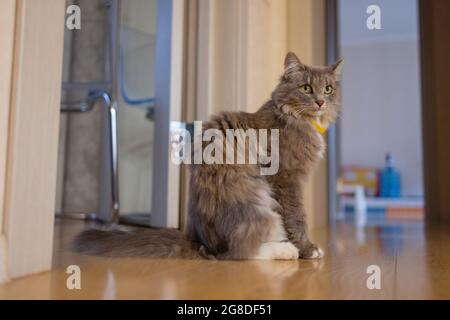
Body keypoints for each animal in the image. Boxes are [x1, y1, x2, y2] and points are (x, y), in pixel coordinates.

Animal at [73, 52, 342, 262]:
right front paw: (308, 249)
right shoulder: (286, 179)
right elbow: (296, 219)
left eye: (328, 89)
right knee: (238, 251)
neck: (295, 118)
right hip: (256, 202)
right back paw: (285, 251)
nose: (320, 102)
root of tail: (199, 240)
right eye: (306, 88)